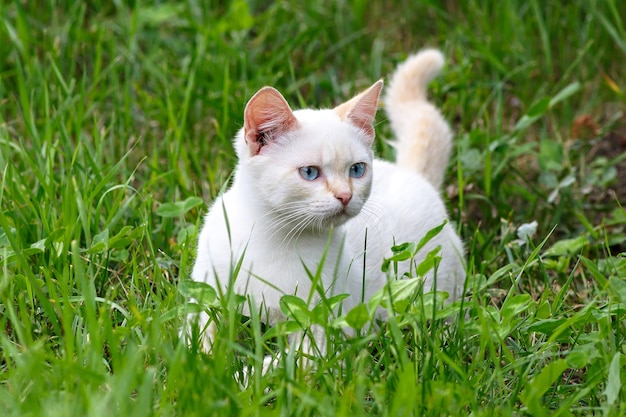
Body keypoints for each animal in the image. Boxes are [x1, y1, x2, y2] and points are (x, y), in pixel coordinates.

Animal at [185, 50, 464, 352]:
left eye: (357, 169)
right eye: (310, 172)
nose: (345, 195)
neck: (270, 237)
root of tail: (411, 174)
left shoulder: (321, 326)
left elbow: (287, 361)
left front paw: (253, 366)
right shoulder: (205, 295)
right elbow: (196, 340)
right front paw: (208, 357)